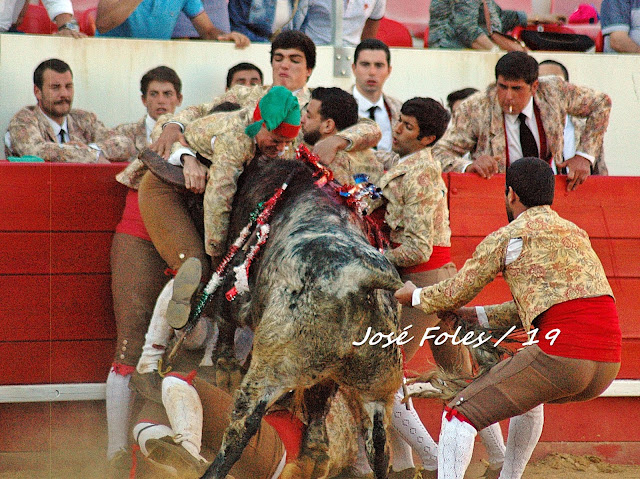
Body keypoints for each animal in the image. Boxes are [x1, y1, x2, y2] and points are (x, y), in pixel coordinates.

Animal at [200, 153, 404, 479]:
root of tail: (364, 280)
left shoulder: (236, 283)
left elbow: (225, 318)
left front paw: (225, 364)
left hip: (273, 366)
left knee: (242, 428)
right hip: (378, 387)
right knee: (379, 446)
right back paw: (318, 453)